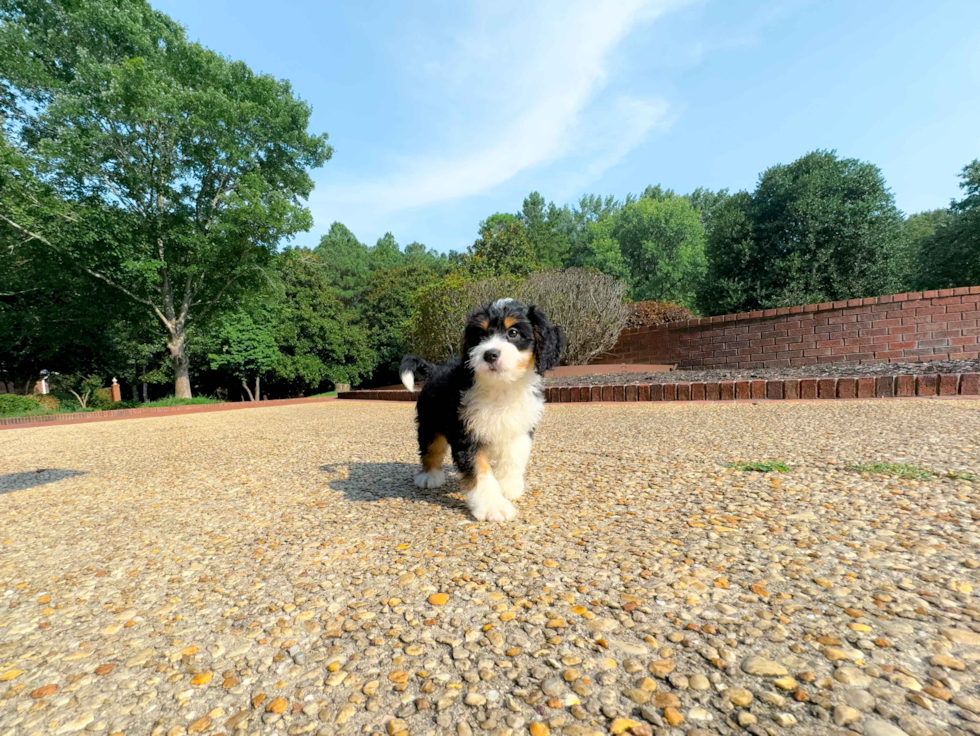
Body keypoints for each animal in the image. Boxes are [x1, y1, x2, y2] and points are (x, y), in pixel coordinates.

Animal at [400, 300, 568, 524]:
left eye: (513, 332)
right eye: (480, 335)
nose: (489, 354)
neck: (501, 387)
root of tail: (435, 369)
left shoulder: (521, 426)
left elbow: (514, 456)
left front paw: (508, 487)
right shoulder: (466, 433)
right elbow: (479, 470)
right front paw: (493, 506)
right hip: (430, 420)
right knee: (431, 448)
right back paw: (429, 476)